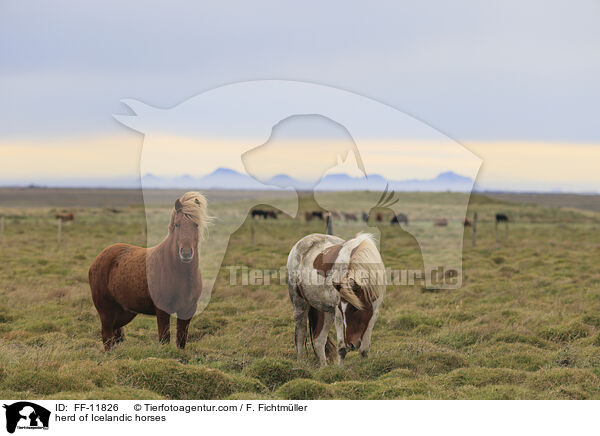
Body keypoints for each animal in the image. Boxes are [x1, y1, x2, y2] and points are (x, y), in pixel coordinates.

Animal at [88, 192, 210, 350]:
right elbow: (164, 338)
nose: (186, 253)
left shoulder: (187, 309)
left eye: (196, 224)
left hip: (123, 312)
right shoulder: (162, 310)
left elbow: (181, 340)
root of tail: (98, 258)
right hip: (106, 310)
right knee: (107, 335)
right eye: (177, 225)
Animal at [288, 233, 386, 366]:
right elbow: (341, 349)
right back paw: (300, 363)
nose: (351, 344)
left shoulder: (373, 313)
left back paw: (323, 367)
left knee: (319, 341)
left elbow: (364, 350)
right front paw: (340, 369)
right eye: (344, 308)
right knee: (300, 335)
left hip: (325, 311)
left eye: (355, 308)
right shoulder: (338, 313)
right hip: (300, 305)